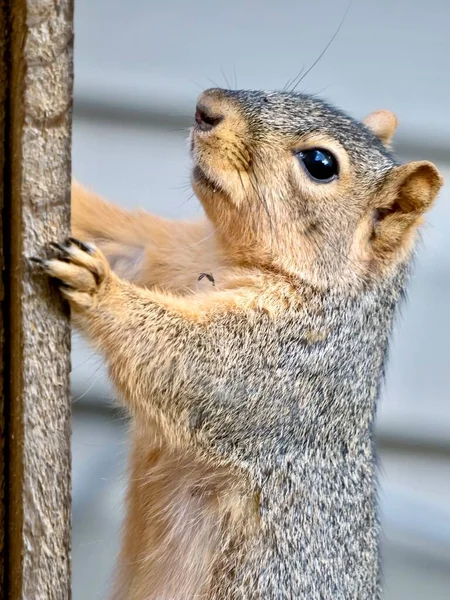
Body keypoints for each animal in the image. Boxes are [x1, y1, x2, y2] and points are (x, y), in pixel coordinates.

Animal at [33, 86, 442, 596]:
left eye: (321, 163)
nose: (206, 107)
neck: (226, 256)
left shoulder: (288, 361)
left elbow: (194, 362)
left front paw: (97, 285)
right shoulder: (168, 253)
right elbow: (118, 235)